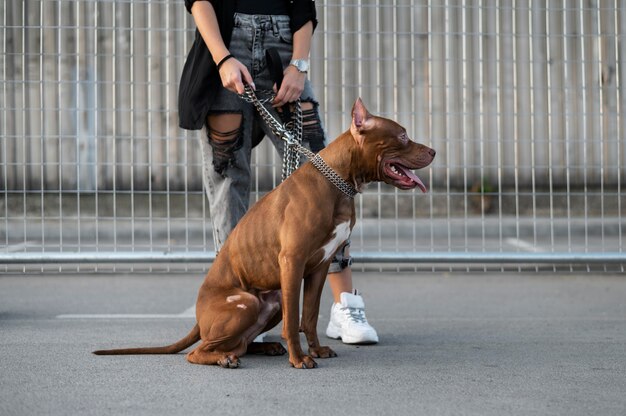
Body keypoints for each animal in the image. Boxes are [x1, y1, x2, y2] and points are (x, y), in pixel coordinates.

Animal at [94, 99, 434, 368]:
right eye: (403, 135)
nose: (433, 150)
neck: (338, 181)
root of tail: (198, 320)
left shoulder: (321, 266)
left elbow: (309, 315)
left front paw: (316, 350)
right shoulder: (292, 262)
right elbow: (295, 320)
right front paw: (299, 359)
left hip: (272, 301)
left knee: (241, 343)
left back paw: (263, 347)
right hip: (246, 302)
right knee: (199, 351)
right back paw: (225, 358)